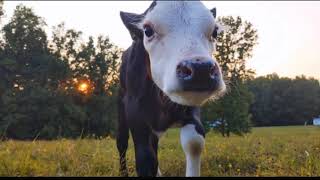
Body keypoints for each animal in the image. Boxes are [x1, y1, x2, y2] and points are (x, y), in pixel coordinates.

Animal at [117, 0, 225, 177]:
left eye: (215, 32)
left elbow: (194, 143)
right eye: (147, 30)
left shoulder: (191, 106)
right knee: (121, 142)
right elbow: (145, 158)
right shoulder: (135, 111)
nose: (200, 69)